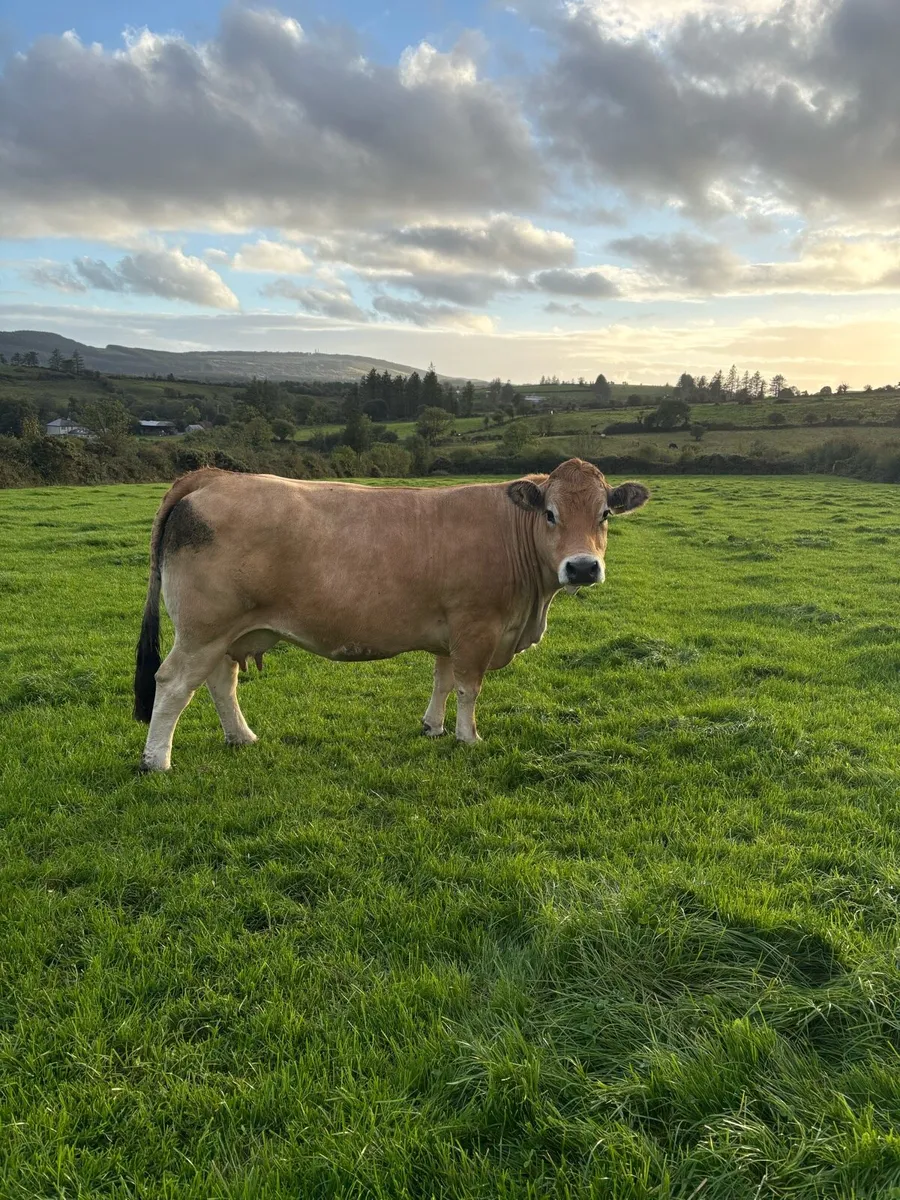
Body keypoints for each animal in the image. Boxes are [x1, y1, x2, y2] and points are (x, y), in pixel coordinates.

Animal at [133, 459, 649, 771]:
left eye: (605, 514)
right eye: (550, 514)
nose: (582, 567)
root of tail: (214, 475)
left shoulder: (451, 629)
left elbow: (443, 681)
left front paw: (433, 727)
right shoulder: (476, 627)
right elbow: (469, 688)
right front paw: (468, 737)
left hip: (224, 633)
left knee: (220, 682)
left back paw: (241, 737)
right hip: (203, 630)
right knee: (173, 684)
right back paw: (156, 760)